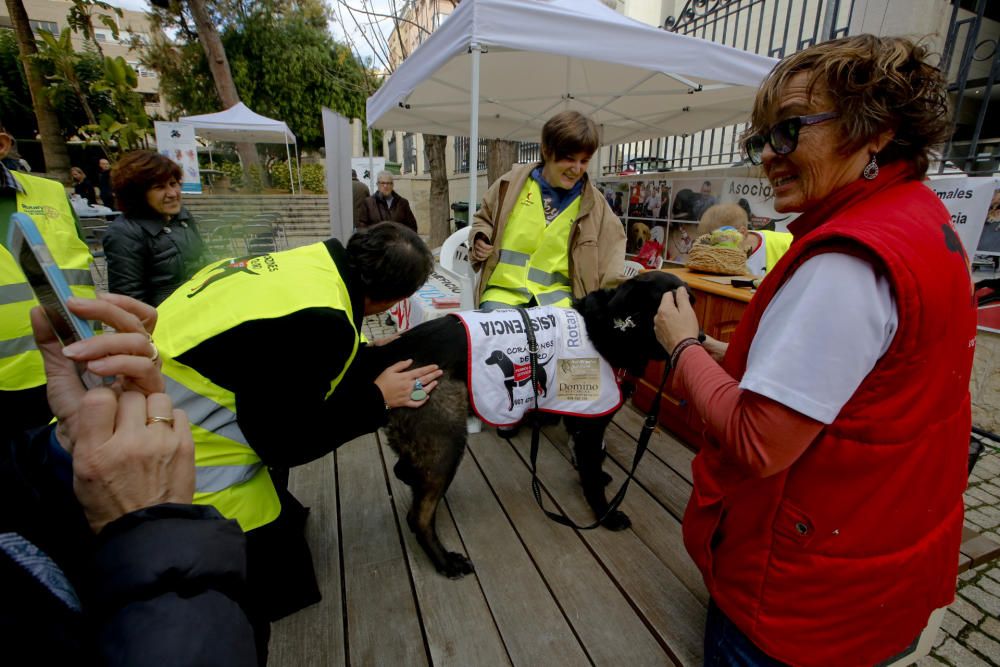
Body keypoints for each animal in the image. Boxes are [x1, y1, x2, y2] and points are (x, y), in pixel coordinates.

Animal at [358, 272, 688, 580]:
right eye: (675, 303)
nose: (693, 334)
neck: (610, 327)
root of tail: (394, 350)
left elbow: (587, 463)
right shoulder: (590, 428)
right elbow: (592, 477)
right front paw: (604, 515)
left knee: (405, 470)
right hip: (446, 444)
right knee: (418, 517)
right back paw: (445, 561)